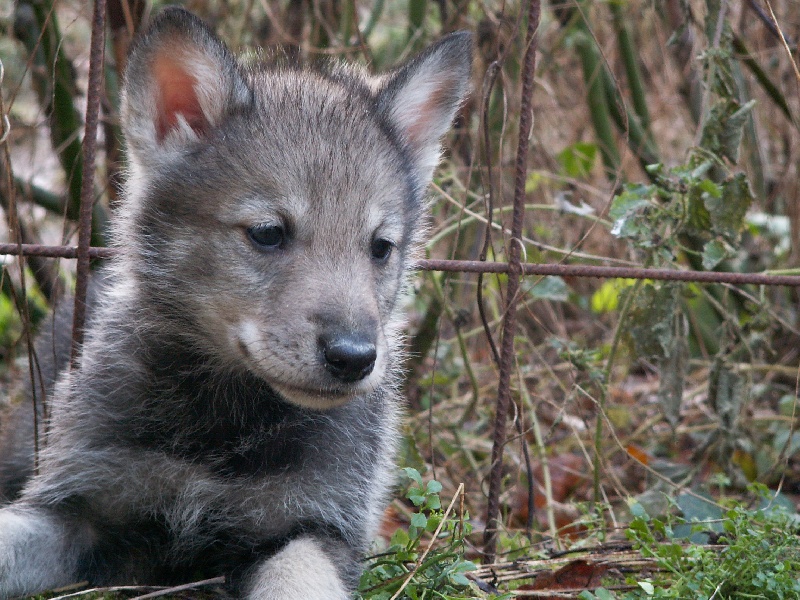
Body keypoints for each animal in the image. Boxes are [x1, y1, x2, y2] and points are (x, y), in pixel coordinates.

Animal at [0, 9, 468, 600]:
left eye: (381, 248)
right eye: (267, 233)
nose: (354, 358)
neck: (222, 423)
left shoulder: (316, 525)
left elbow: (298, 581)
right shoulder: (76, 507)